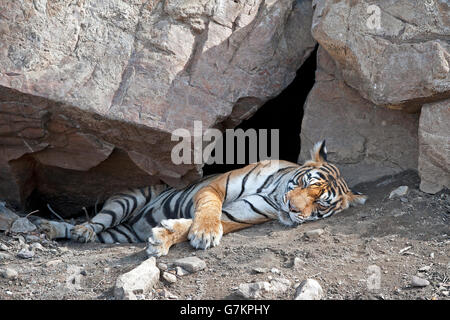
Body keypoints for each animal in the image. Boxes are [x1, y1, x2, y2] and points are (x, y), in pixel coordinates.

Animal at [38, 141, 368, 256]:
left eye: (320, 204)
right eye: (303, 183)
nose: (293, 209)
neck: (274, 195)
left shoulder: (239, 214)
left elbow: (188, 225)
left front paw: (164, 238)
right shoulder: (215, 187)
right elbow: (208, 209)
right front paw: (206, 233)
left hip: (120, 234)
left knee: (93, 232)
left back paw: (50, 229)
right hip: (127, 200)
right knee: (95, 221)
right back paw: (72, 229)